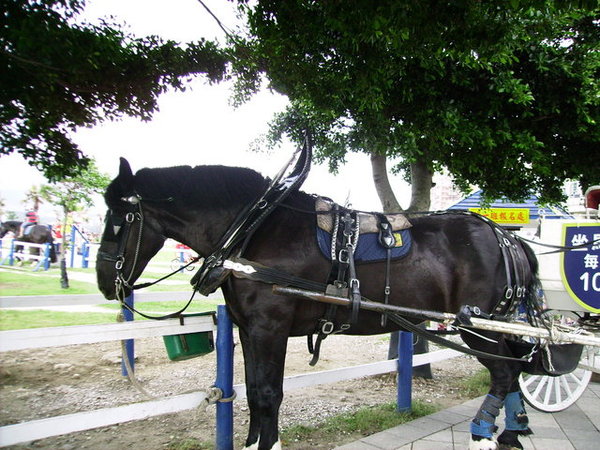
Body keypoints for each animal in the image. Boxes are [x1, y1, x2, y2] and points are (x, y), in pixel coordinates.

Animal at [95, 159, 548, 450]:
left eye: (117, 220)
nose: (102, 280)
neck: (254, 231)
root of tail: (509, 239)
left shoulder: (270, 328)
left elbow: (268, 394)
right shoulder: (249, 330)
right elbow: (253, 392)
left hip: (477, 327)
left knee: (504, 371)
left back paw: (483, 434)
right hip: (495, 326)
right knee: (515, 366)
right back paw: (512, 431)